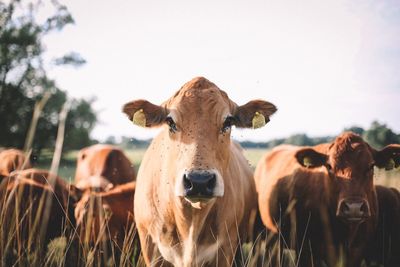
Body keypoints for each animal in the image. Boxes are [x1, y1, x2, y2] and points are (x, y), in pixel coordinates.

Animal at [123, 76, 276, 266]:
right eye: (170, 122)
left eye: (228, 122)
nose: (199, 181)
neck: (191, 222)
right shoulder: (151, 248)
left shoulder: (226, 249)